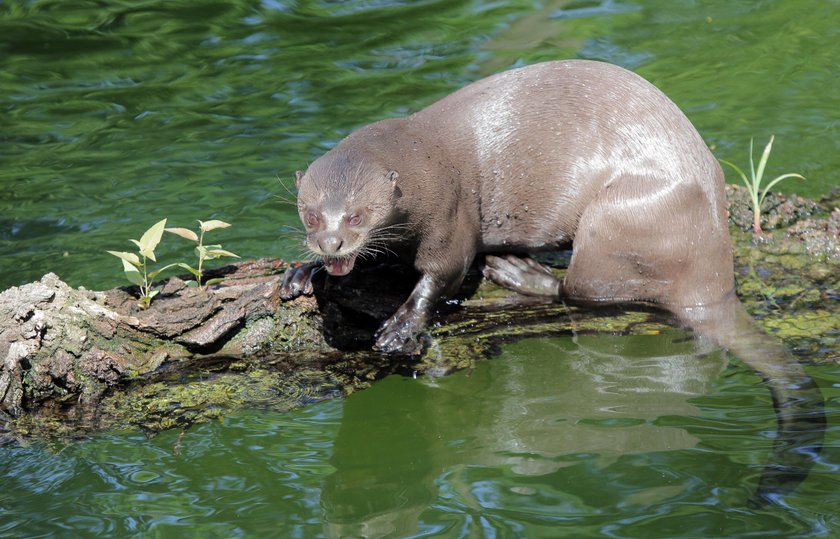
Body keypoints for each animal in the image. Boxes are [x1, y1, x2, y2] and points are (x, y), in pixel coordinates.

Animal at [284, 60, 828, 506]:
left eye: (356, 215)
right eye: (310, 215)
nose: (330, 243)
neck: (425, 160)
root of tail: (715, 265)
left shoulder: (449, 215)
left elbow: (442, 274)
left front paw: (402, 327)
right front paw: (302, 272)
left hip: (616, 221)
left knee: (583, 292)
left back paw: (519, 272)